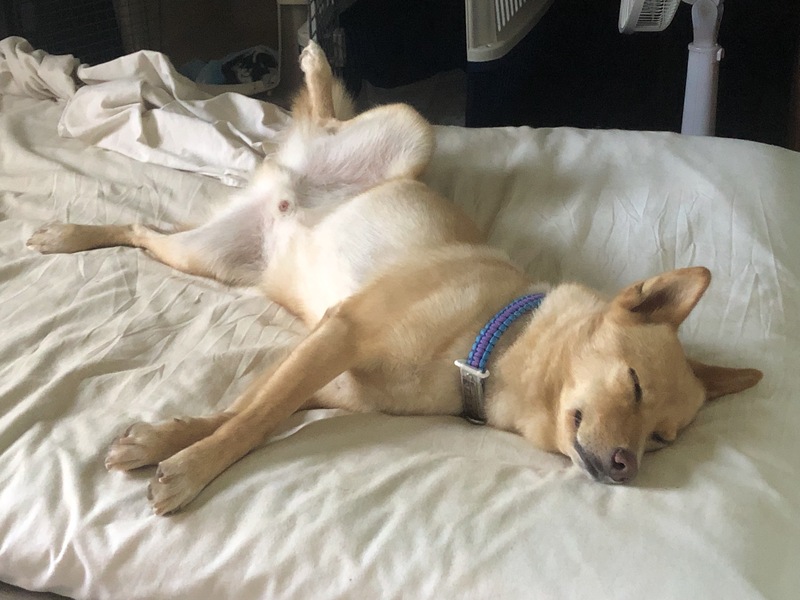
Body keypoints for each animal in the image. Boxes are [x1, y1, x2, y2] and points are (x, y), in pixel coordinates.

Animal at [26, 42, 762, 515]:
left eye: (662, 440)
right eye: (634, 386)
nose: (627, 469)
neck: (489, 348)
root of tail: (290, 180)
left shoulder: (330, 376)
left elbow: (244, 408)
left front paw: (163, 442)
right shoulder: (340, 334)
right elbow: (254, 420)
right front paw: (189, 468)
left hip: (209, 259)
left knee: (139, 231)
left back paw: (70, 236)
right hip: (410, 132)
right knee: (333, 113)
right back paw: (315, 66)